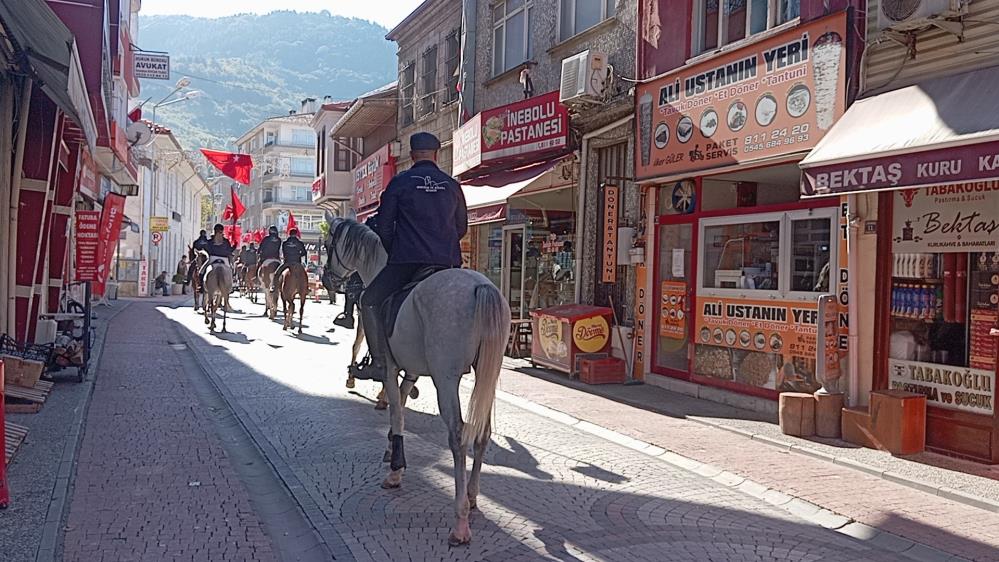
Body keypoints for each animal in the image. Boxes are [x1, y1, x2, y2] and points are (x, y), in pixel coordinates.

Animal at [328, 218, 512, 544]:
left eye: (328, 245)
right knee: (483, 432)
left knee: (458, 436)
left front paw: (395, 471)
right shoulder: (410, 370)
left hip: (446, 378)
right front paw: (391, 449)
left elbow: (397, 412)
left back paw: (460, 521)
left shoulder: (390, 369)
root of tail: (481, 287)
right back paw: (472, 495)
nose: (328, 279)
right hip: (487, 374)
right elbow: (401, 402)